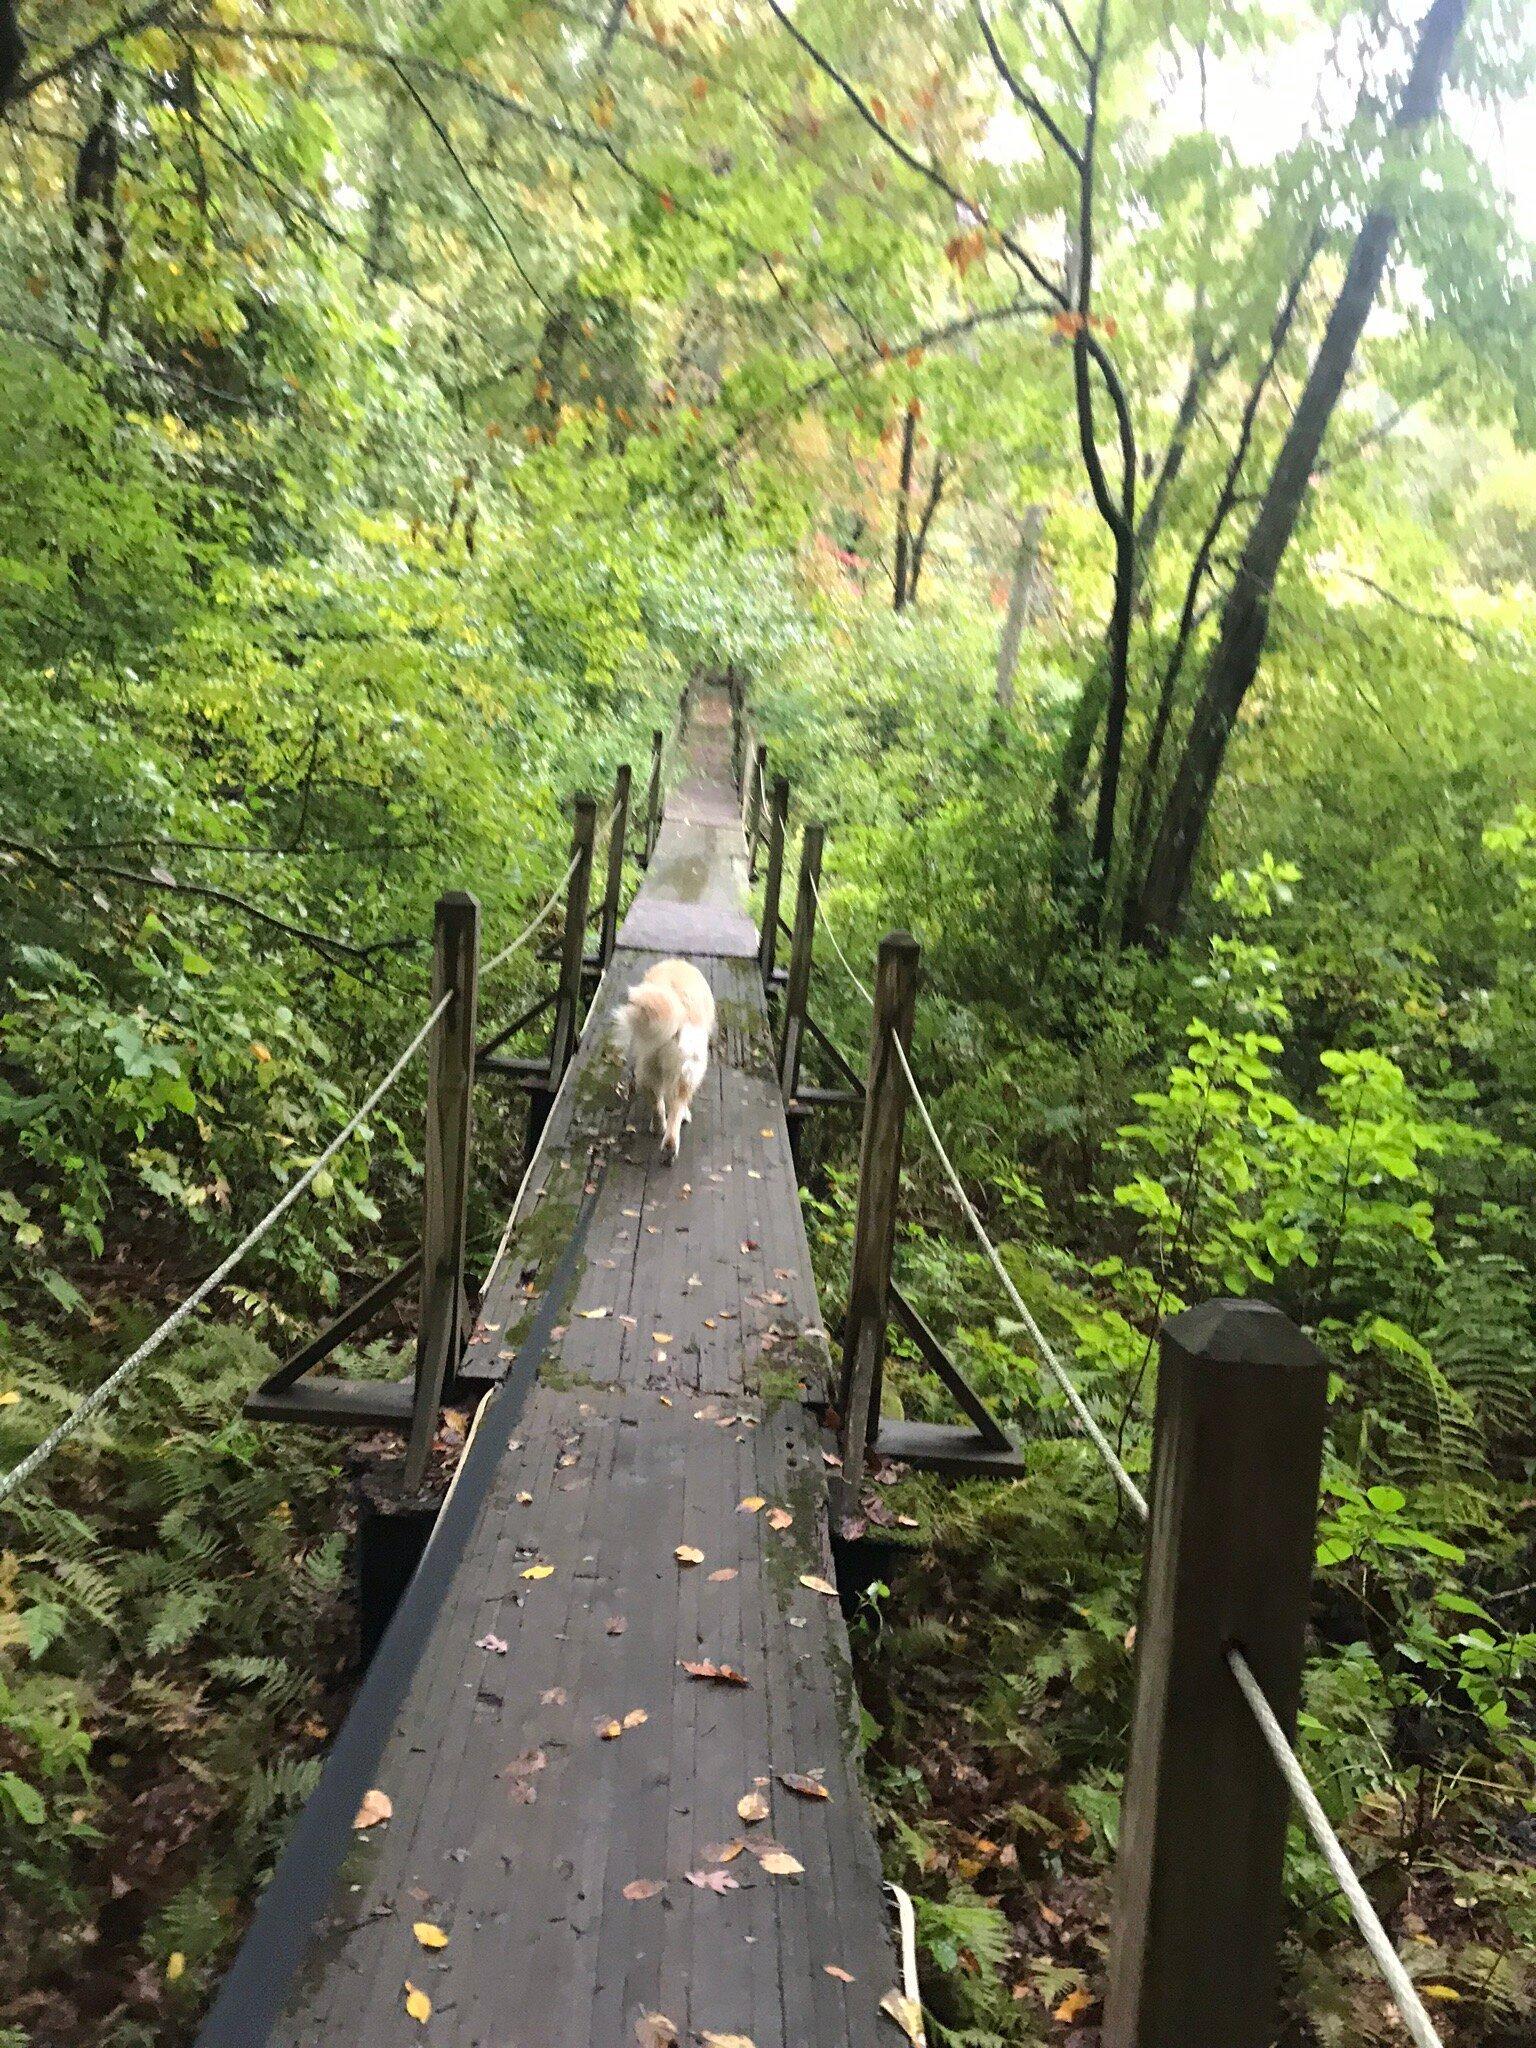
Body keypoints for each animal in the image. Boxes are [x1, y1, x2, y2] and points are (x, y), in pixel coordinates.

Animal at [614, 954, 716, 1163]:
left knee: (662, 1104)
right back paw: (666, 1138)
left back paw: (664, 1138)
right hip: (679, 1071)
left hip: (652, 1067)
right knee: (672, 1106)